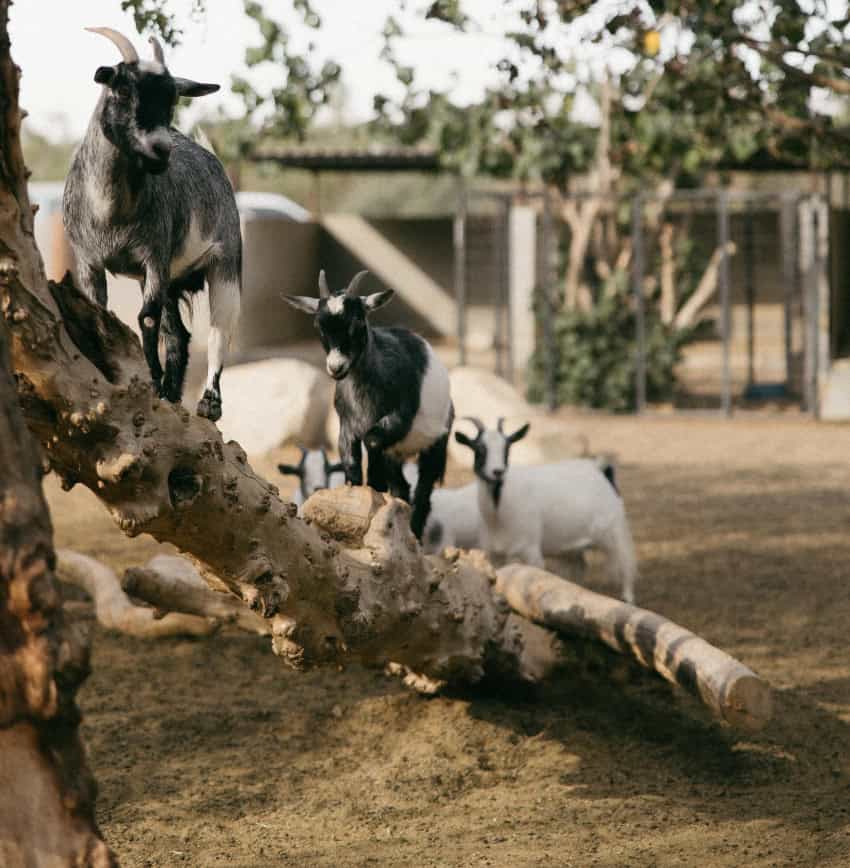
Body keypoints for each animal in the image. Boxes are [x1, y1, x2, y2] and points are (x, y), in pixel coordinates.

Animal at [62, 27, 241, 421]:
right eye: (122, 88)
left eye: (172, 95)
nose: (161, 149)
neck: (110, 214)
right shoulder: (89, 261)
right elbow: (102, 312)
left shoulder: (154, 257)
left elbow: (146, 319)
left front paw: (154, 382)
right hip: (171, 279)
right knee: (179, 335)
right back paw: (174, 395)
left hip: (226, 263)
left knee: (220, 330)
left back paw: (208, 404)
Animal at [283, 270, 453, 540]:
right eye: (319, 326)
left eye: (358, 322)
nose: (336, 368)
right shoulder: (347, 426)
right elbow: (351, 464)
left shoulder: (398, 419)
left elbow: (372, 443)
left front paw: (374, 487)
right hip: (397, 452)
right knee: (402, 487)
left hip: (435, 443)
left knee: (424, 491)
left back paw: (415, 534)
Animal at [455, 418, 638, 603]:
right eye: (479, 448)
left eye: (507, 448)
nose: (497, 472)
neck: (498, 513)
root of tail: (602, 471)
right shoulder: (493, 553)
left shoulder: (531, 549)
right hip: (573, 546)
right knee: (579, 567)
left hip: (614, 530)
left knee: (626, 562)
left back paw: (627, 597)